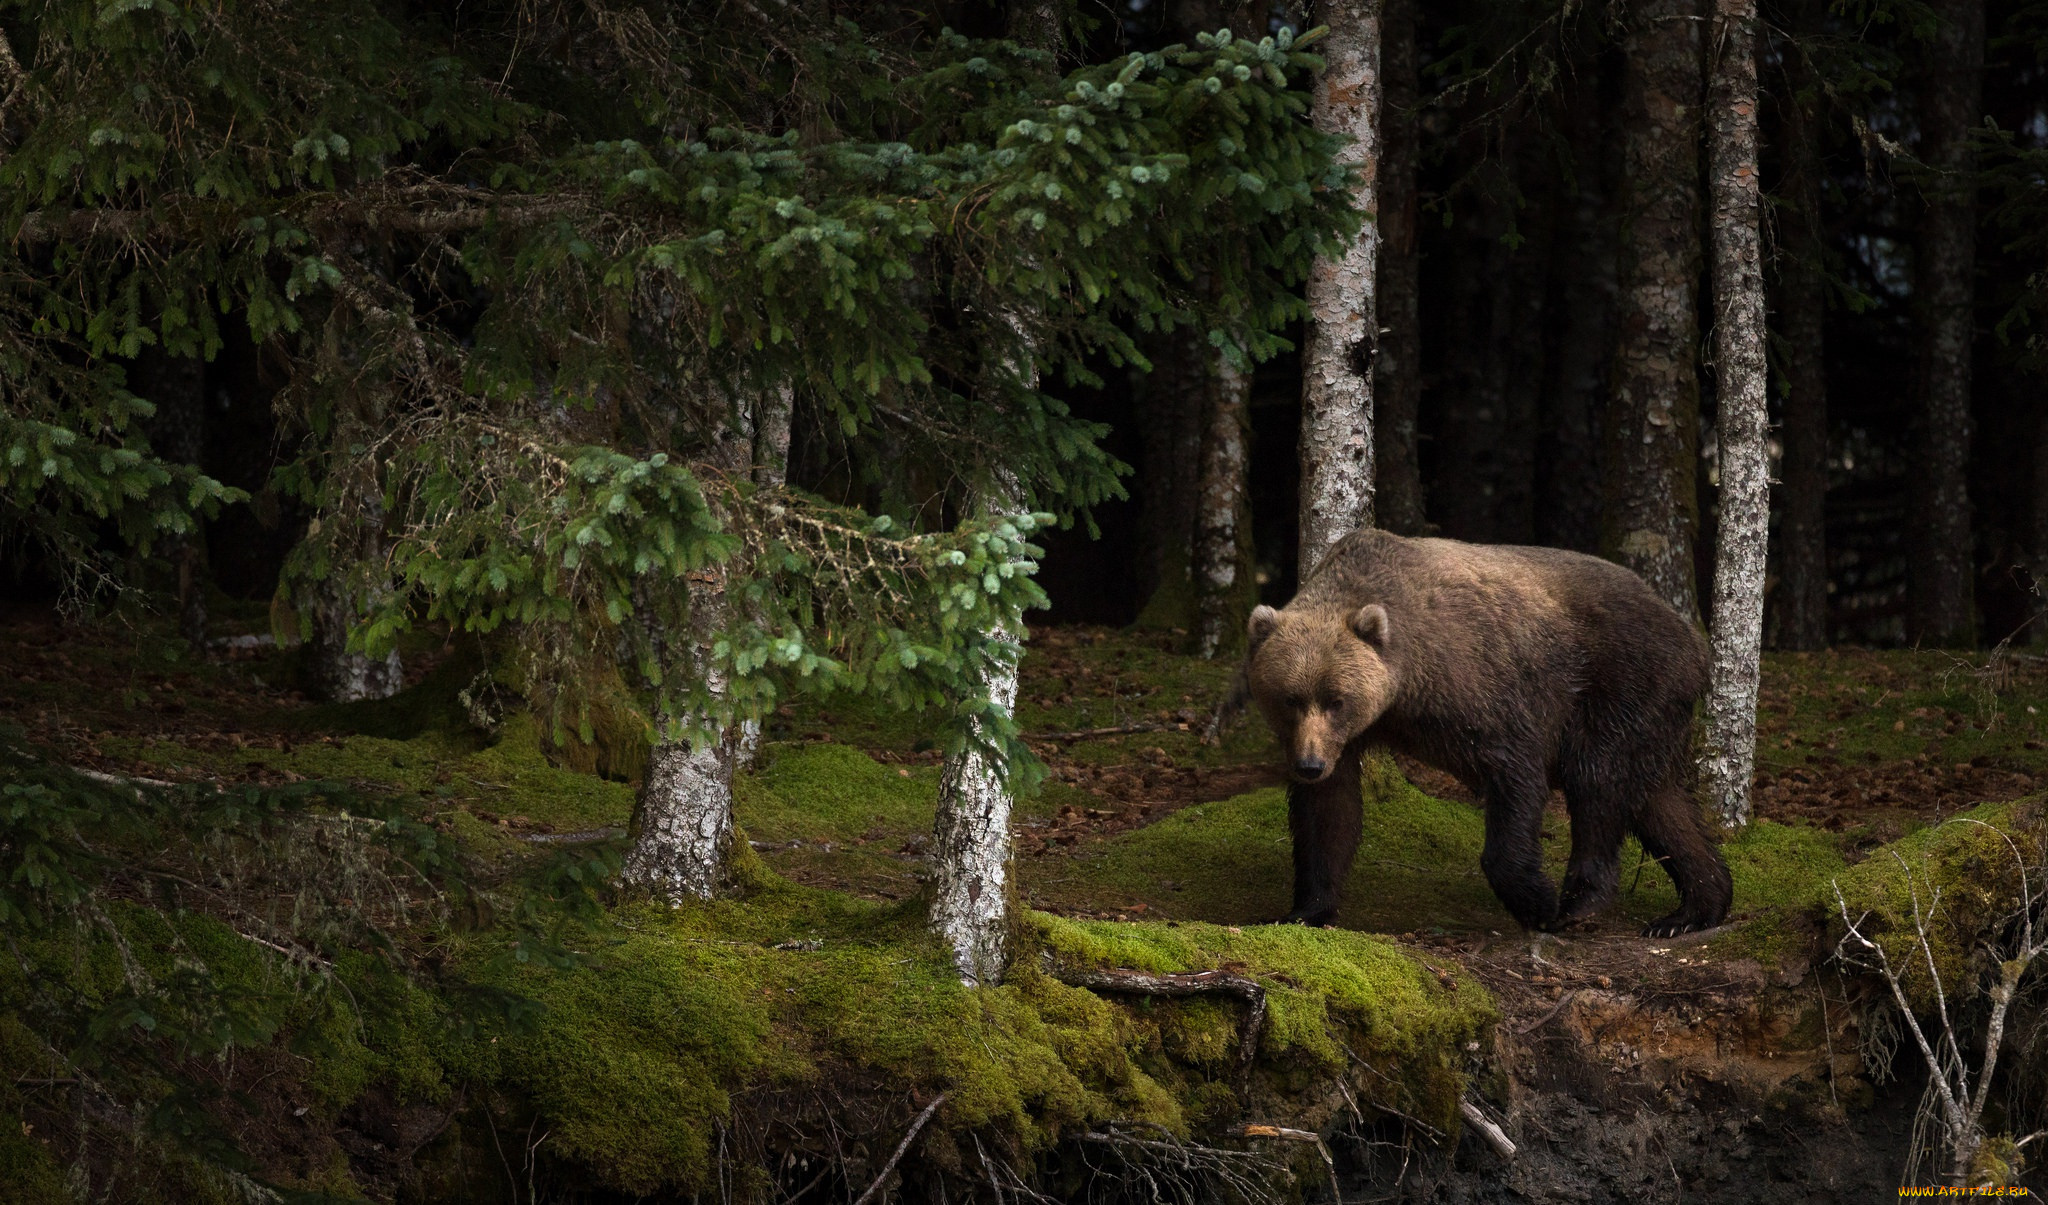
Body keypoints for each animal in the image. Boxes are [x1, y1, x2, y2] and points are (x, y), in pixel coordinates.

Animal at [1245, 528, 1728, 942]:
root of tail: (1692, 638)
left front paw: (1538, 902)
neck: (1405, 686)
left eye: (1336, 700)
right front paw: (1303, 910)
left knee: (1597, 779)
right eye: (1290, 698)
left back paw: (1579, 901)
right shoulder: (1346, 740)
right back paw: (1693, 909)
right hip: (1654, 717)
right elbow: (1328, 814)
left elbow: (1514, 772)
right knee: (1660, 803)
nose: (1309, 764)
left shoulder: (1477, 685)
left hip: (1623, 680)